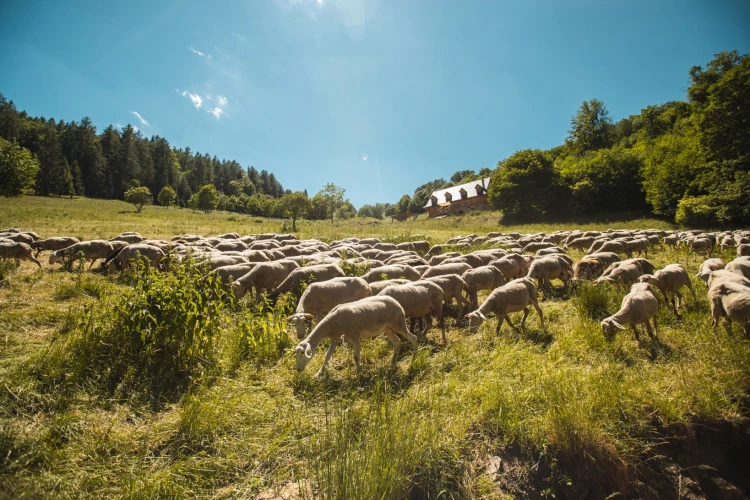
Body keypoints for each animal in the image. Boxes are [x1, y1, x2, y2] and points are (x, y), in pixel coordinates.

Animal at [296, 296, 424, 376]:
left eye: (302, 353)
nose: (298, 369)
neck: (332, 324)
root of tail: (397, 303)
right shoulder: (335, 338)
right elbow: (327, 356)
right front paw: (319, 374)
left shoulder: (355, 335)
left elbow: (356, 357)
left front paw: (358, 373)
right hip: (387, 329)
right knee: (397, 342)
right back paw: (392, 363)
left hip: (398, 324)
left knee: (413, 338)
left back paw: (413, 360)